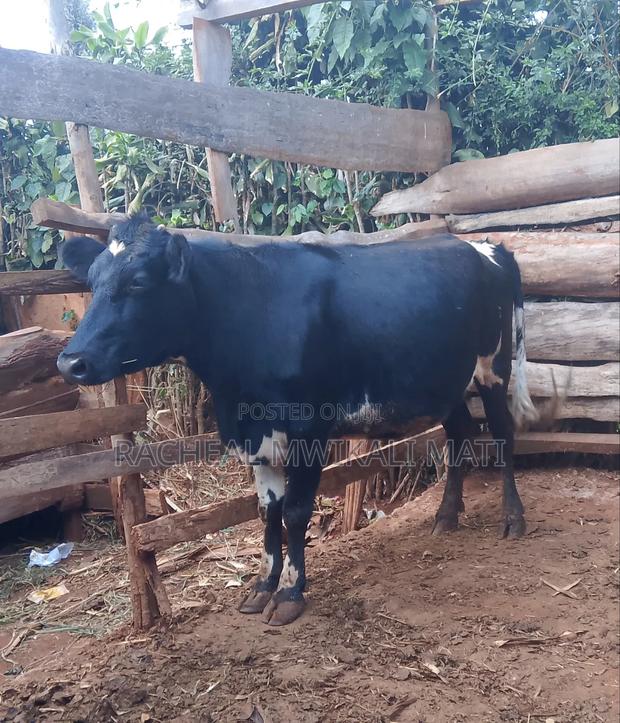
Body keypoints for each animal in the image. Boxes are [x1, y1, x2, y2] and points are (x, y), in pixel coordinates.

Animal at [57, 213, 538, 626]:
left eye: (138, 282)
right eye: (92, 280)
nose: (71, 362)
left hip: (494, 367)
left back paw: (513, 519)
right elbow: (267, 511)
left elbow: (295, 511)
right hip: (448, 380)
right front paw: (262, 585)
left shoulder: (309, 429)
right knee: (459, 434)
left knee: (502, 435)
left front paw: (290, 592)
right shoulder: (255, 435)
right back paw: (446, 515)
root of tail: (486, 246)